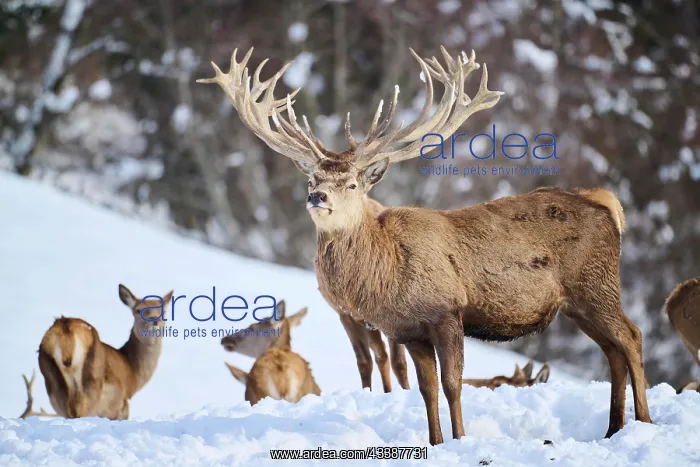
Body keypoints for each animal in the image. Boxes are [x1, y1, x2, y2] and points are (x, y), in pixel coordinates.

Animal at [36, 284, 173, 420]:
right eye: (138, 310)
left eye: (164, 311)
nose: (154, 320)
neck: (132, 374)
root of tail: (66, 328)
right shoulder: (122, 405)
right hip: (92, 380)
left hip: (53, 382)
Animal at [198, 44, 652, 445]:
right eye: (312, 178)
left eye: (352, 183)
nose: (317, 197)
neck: (388, 273)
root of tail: (607, 204)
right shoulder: (407, 330)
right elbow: (425, 388)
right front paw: (435, 442)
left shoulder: (447, 312)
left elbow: (453, 384)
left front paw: (461, 439)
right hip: (576, 303)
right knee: (612, 350)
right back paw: (613, 429)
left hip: (596, 283)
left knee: (631, 336)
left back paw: (644, 422)